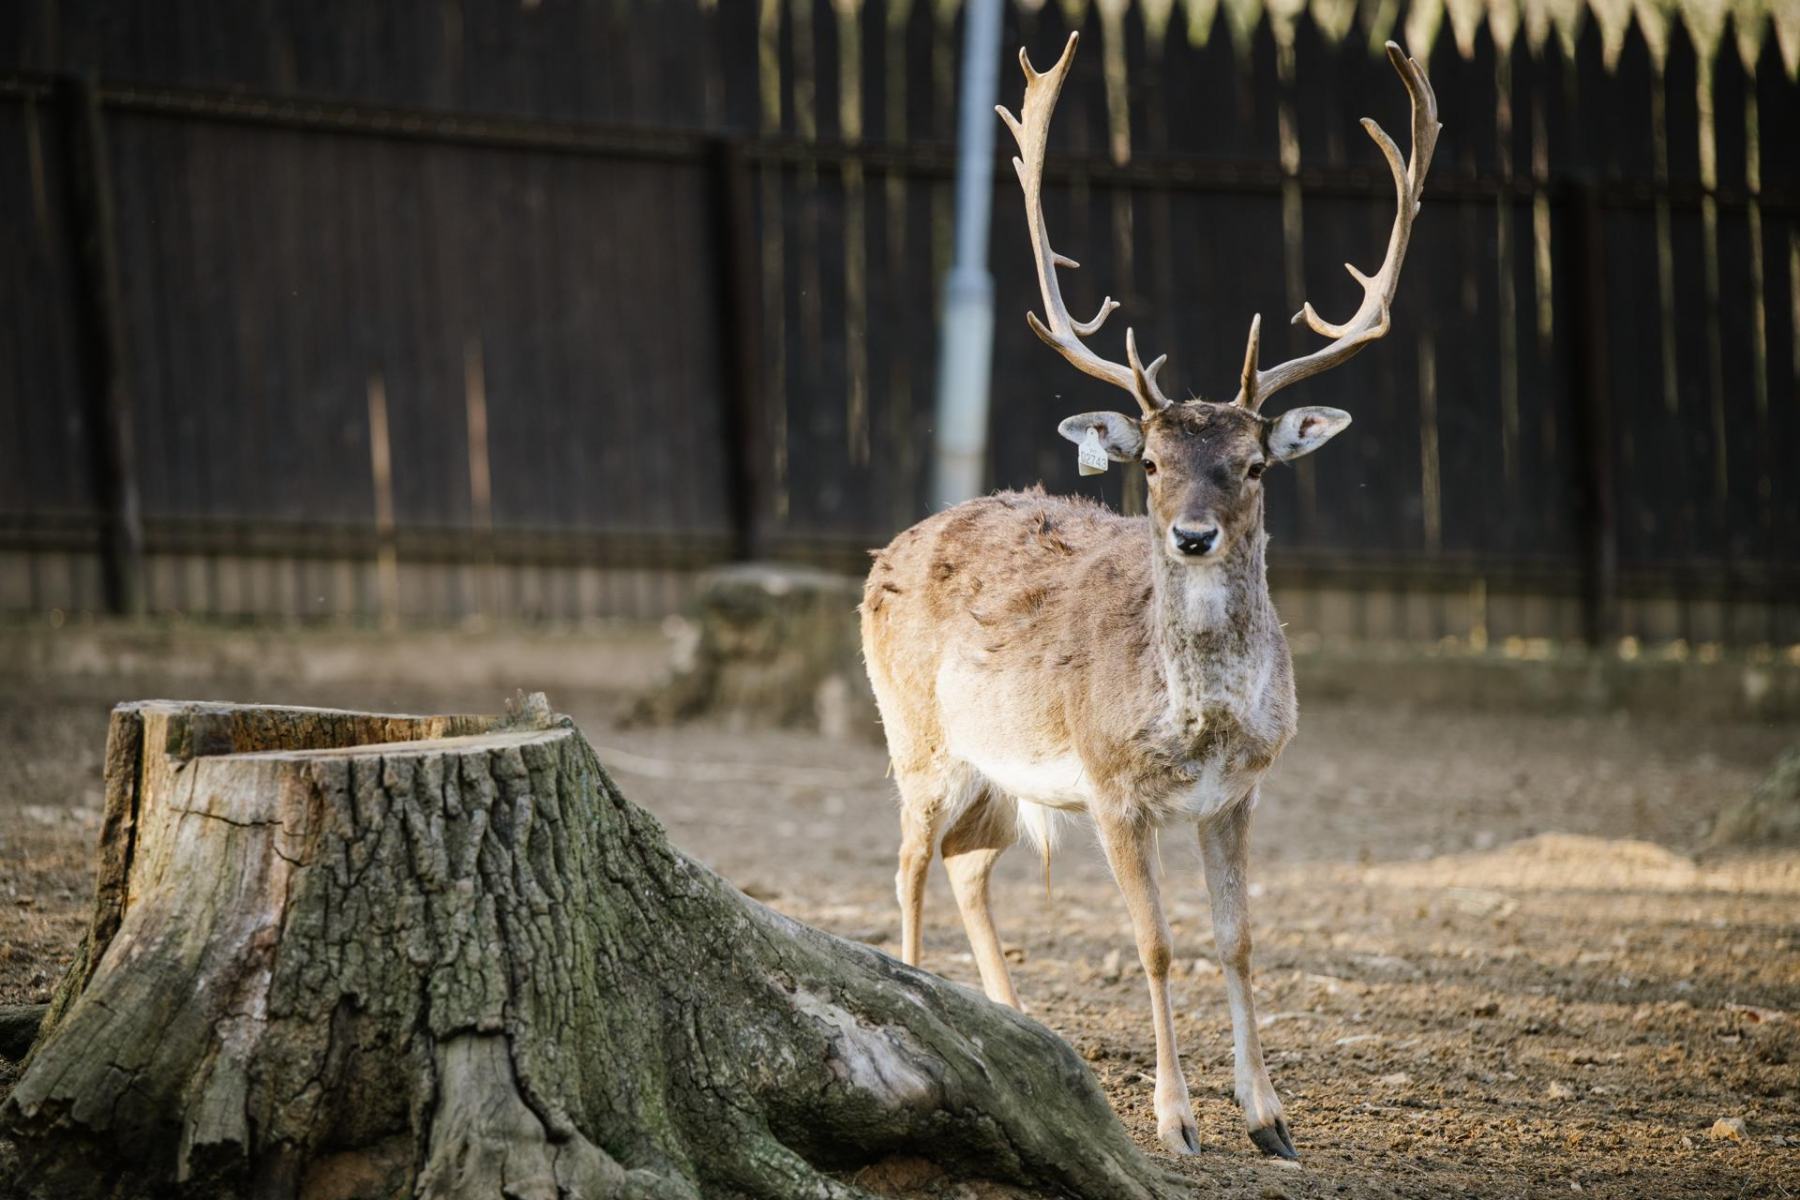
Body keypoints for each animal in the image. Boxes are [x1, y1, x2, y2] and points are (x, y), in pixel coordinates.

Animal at [859, 34, 1438, 1161]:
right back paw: (917, 992)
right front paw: (1177, 1123)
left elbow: (1240, 939)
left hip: (999, 773)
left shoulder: (1243, 789)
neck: (1197, 722)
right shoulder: (1111, 786)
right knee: (907, 863)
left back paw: (1013, 1029)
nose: (1193, 534)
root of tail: (884, 550)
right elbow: (1158, 943)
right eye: (1155, 463)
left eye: (1254, 463)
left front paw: (1269, 1120)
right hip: (918, 736)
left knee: (969, 865)